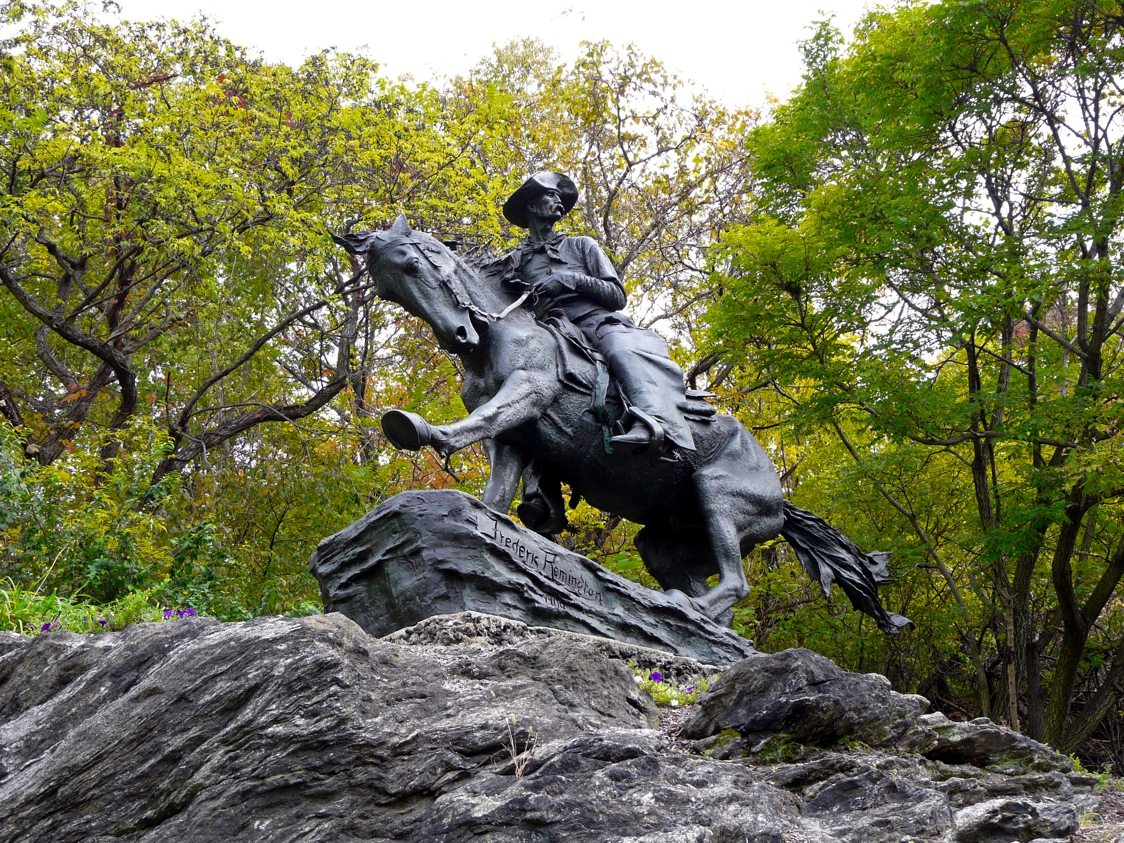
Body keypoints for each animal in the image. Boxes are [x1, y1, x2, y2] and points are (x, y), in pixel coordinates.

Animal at [334, 218, 912, 633]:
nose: (458, 335)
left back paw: (682, 611)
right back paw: (692, 617)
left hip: (718, 495)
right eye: (385, 290)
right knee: (717, 597)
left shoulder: (530, 392)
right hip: (663, 543)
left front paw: (415, 430)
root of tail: (782, 499)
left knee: (737, 586)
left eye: (413, 264)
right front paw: (484, 519)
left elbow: (477, 419)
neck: (507, 330)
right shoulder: (515, 437)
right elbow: (497, 488)